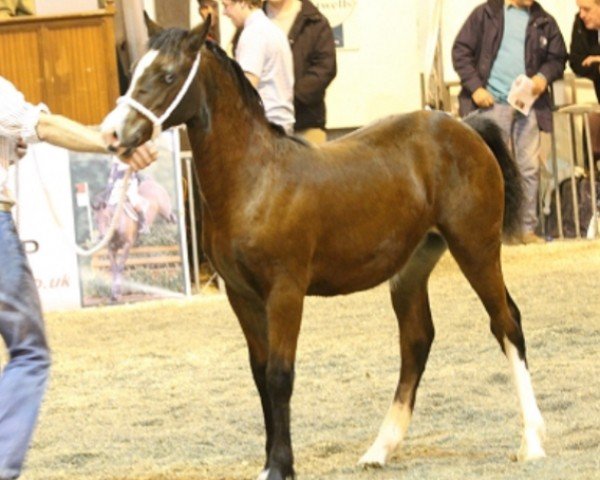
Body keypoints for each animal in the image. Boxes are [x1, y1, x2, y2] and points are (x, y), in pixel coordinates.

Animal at [101, 18, 548, 480]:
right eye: (136, 70)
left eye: (168, 76)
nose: (112, 133)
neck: (255, 180)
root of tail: (465, 127)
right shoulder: (241, 295)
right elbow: (260, 374)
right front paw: (274, 461)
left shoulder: (285, 292)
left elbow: (280, 375)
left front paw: (279, 466)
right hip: (412, 267)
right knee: (416, 340)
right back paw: (380, 449)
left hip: (476, 247)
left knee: (506, 323)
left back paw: (531, 441)